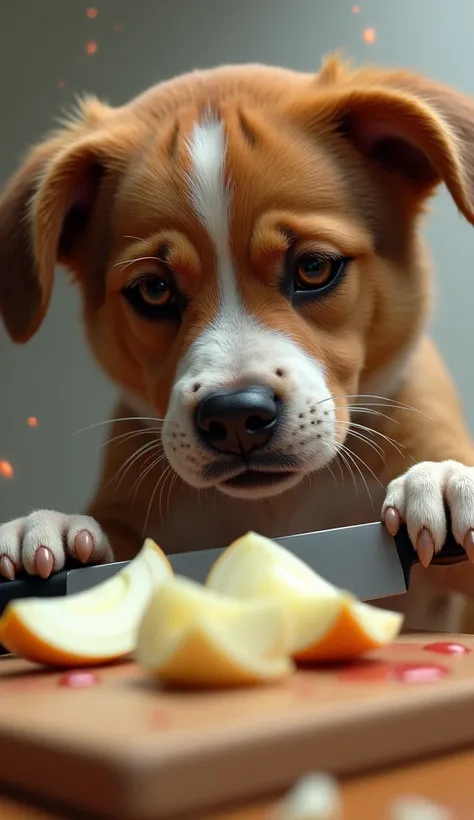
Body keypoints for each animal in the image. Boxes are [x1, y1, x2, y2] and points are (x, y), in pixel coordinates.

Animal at [0, 57, 474, 632]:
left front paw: (447, 480)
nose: (232, 417)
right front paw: (50, 529)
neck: (277, 506)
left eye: (314, 267)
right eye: (153, 290)